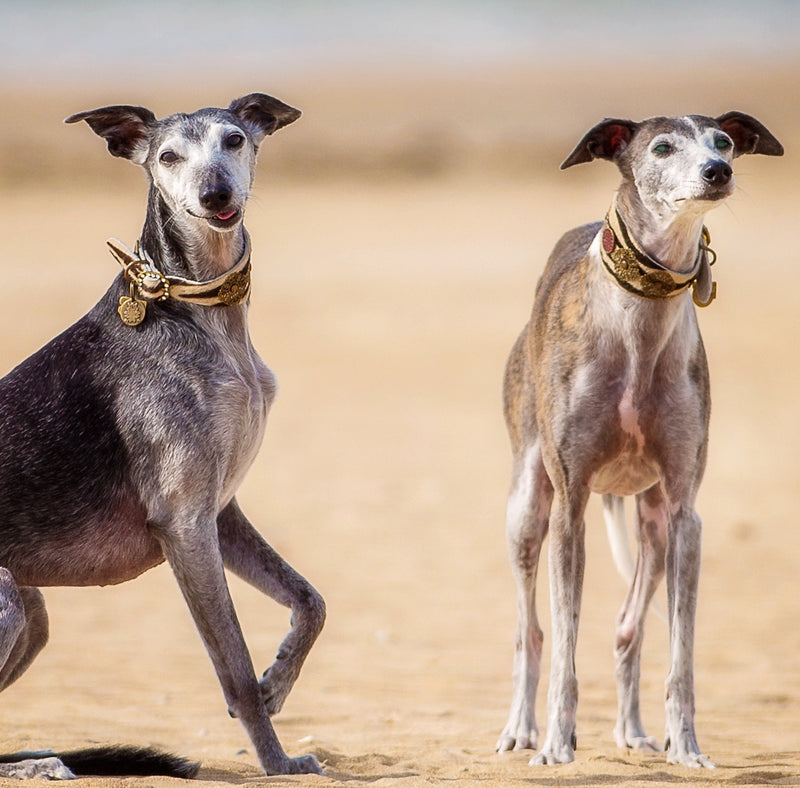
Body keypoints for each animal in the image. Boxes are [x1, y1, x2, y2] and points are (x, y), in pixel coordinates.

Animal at [0, 95, 324, 780]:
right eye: (168, 156)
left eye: (235, 139)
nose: (215, 194)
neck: (198, 309)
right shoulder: (184, 523)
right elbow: (232, 666)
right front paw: (277, 760)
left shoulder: (219, 510)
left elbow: (311, 602)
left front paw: (278, 682)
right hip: (8, 599)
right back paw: (41, 765)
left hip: (31, 613)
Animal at [496, 114, 784, 768]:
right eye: (662, 147)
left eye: (723, 142)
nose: (717, 173)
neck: (639, 324)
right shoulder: (570, 506)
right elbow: (563, 648)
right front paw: (556, 745)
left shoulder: (684, 514)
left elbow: (680, 656)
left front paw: (688, 747)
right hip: (528, 507)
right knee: (530, 631)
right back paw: (521, 728)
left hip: (651, 524)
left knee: (630, 628)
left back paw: (632, 730)